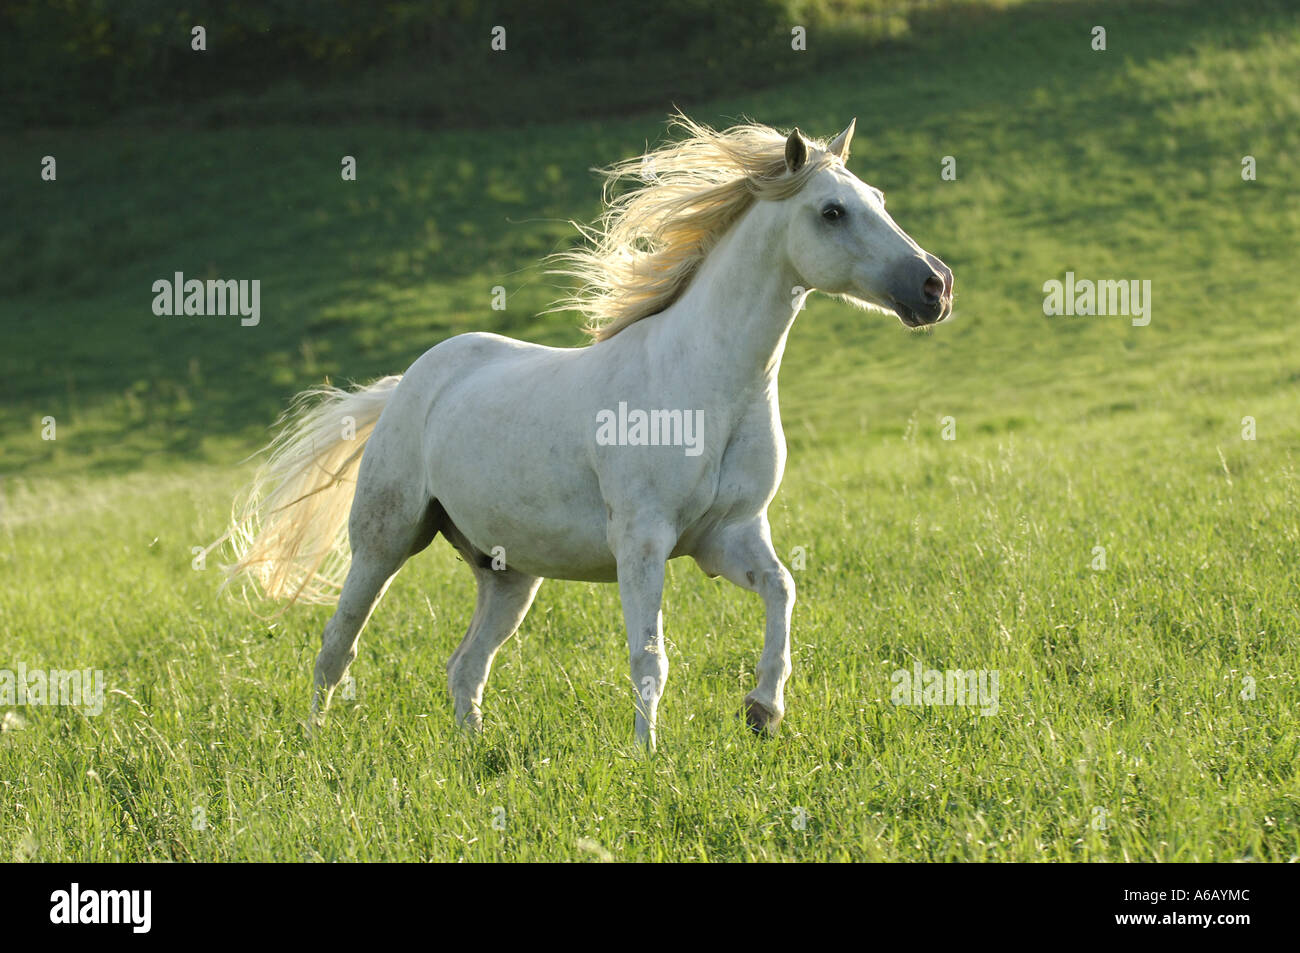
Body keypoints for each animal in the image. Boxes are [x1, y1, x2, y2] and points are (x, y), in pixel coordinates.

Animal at [212, 114, 954, 749]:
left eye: (878, 198)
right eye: (832, 211)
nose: (935, 287)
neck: (706, 383)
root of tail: (407, 385)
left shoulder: (730, 535)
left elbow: (783, 590)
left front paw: (762, 710)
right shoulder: (643, 541)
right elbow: (650, 655)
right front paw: (649, 755)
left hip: (507, 576)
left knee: (464, 665)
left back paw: (473, 752)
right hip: (384, 541)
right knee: (336, 647)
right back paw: (315, 744)